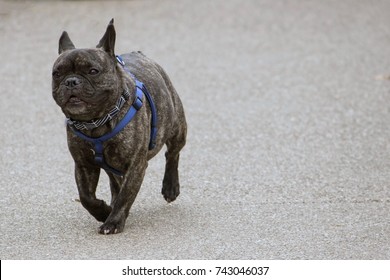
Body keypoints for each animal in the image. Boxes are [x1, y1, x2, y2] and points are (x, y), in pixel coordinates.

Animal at [51, 19, 187, 234]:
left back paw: (170, 187)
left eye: (93, 71)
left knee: (172, 154)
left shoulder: (135, 165)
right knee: (114, 181)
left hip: (177, 129)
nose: (71, 81)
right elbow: (86, 197)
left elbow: (126, 195)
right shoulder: (83, 165)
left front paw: (113, 222)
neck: (95, 122)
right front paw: (104, 211)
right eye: (57, 74)